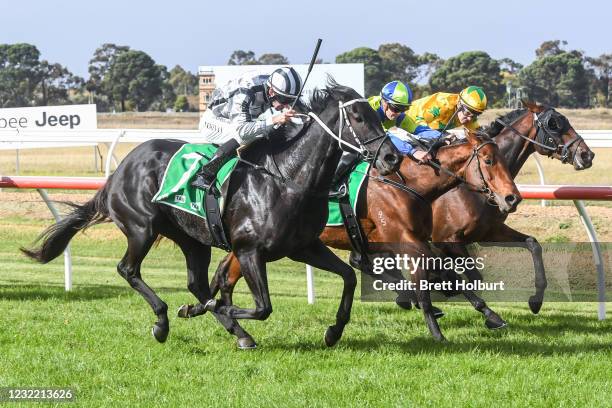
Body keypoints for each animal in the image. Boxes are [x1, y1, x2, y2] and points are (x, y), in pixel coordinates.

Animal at [20, 82, 402, 348]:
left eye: (376, 114)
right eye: (358, 117)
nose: (391, 158)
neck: (289, 179)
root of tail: (118, 171)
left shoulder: (304, 247)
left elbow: (348, 278)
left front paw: (334, 331)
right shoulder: (249, 251)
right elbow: (262, 307)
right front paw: (207, 308)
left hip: (193, 239)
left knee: (196, 282)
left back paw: (234, 330)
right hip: (142, 228)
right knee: (128, 270)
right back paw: (164, 322)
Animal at [180, 129, 520, 342]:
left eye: (503, 158)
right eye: (489, 160)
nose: (512, 198)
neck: (407, 184)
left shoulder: (409, 241)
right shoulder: (407, 241)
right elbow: (440, 277)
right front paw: (455, 324)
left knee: (224, 274)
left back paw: (208, 312)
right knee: (224, 276)